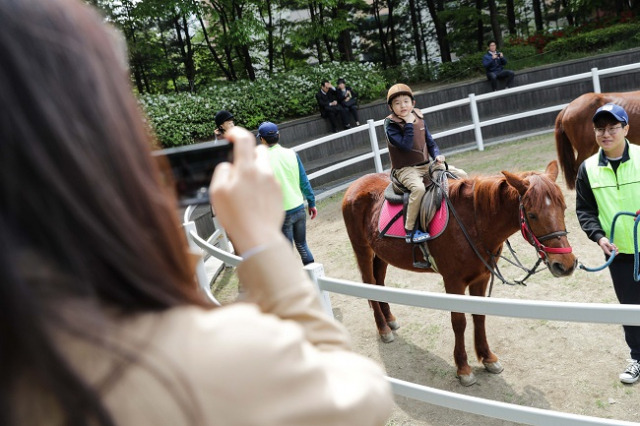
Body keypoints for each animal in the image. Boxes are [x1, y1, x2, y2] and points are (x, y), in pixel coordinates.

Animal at [342, 160, 576, 386]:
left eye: (564, 207)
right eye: (533, 215)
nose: (565, 264)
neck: (473, 222)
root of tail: (355, 185)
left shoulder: (481, 277)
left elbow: (479, 316)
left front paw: (487, 358)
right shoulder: (453, 282)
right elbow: (459, 322)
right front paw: (463, 368)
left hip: (381, 254)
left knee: (379, 282)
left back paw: (389, 318)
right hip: (362, 250)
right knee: (369, 284)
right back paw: (383, 329)